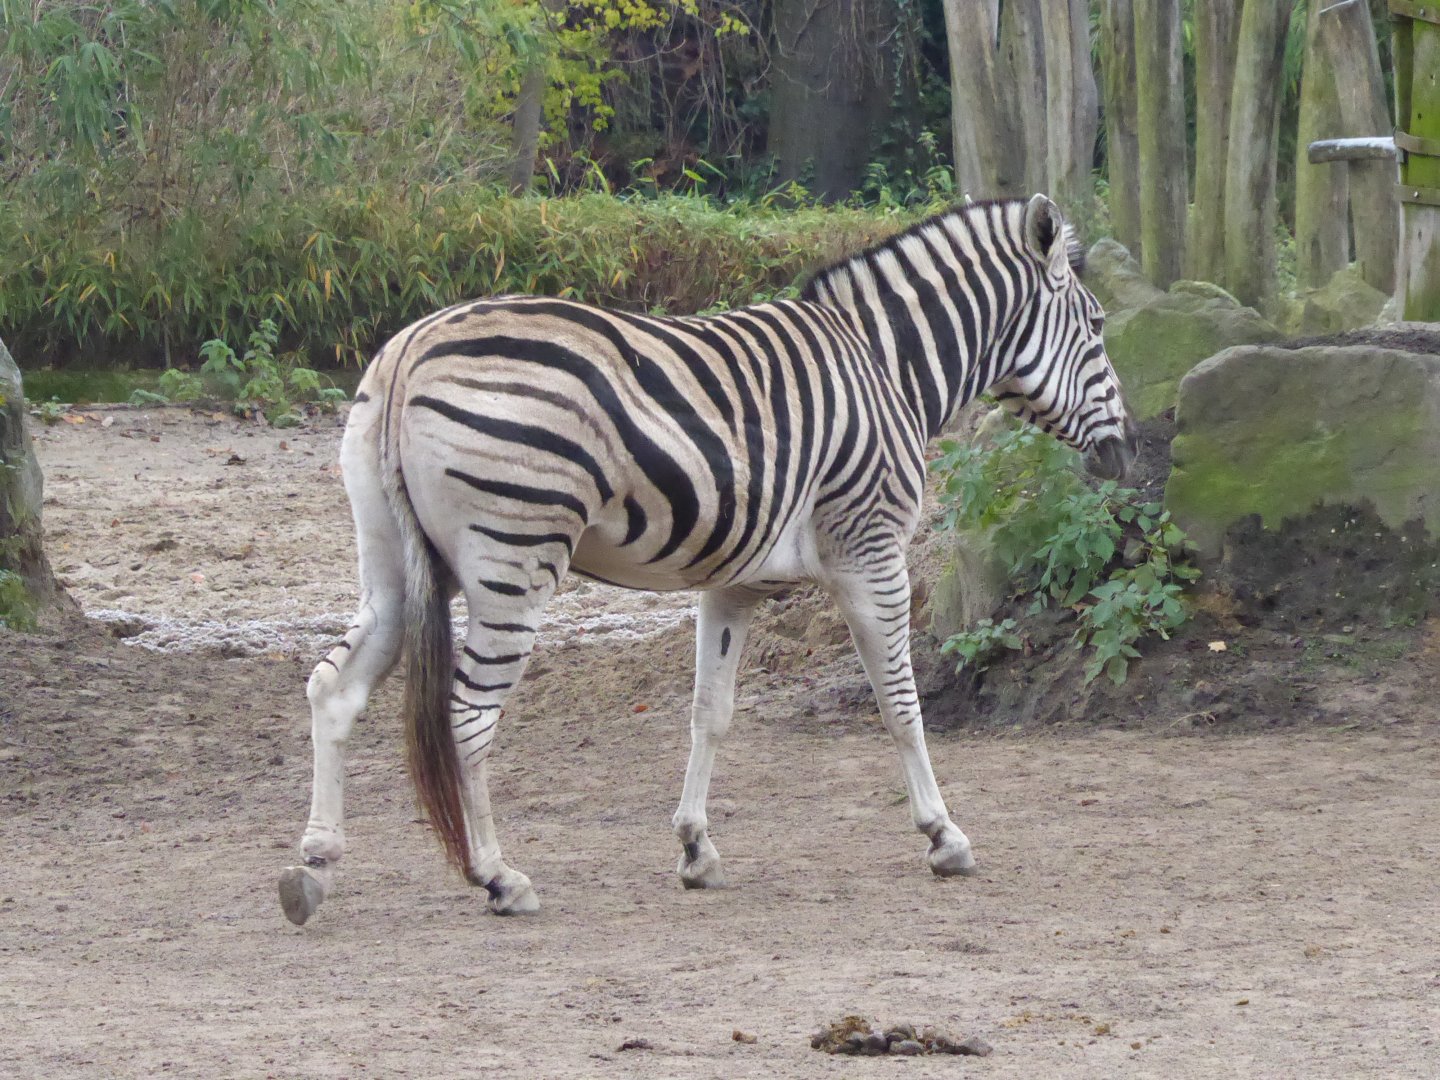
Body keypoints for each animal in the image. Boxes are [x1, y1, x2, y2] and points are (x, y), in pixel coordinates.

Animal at [278, 193, 1137, 926]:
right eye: (1097, 325)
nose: (1126, 453)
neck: (886, 366)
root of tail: (408, 348)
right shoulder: (872, 549)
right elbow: (900, 700)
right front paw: (943, 834)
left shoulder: (734, 581)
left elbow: (709, 710)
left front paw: (695, 847)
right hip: (513, 561)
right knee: (468, 715)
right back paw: (499, 877)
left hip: (392, 563)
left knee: (333, 689)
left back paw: (314, 866)